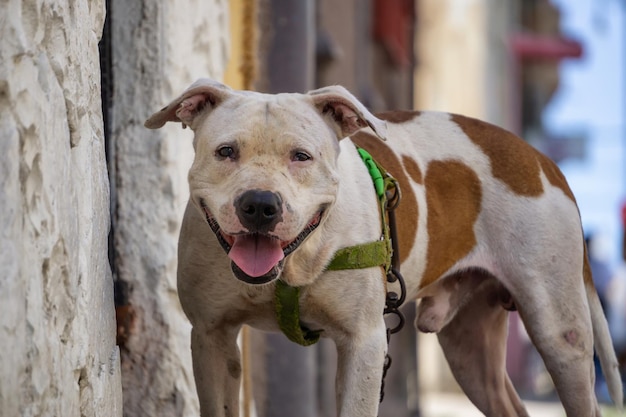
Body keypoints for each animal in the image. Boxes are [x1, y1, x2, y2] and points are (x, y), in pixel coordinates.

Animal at [145, 79, 620, 416]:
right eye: (226, 151)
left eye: (301, 156)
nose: (260, 204)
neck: (297, 262)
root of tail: (541, 159)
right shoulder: (213, 337)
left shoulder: (365, 342)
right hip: (470, 349)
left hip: (562, 335)